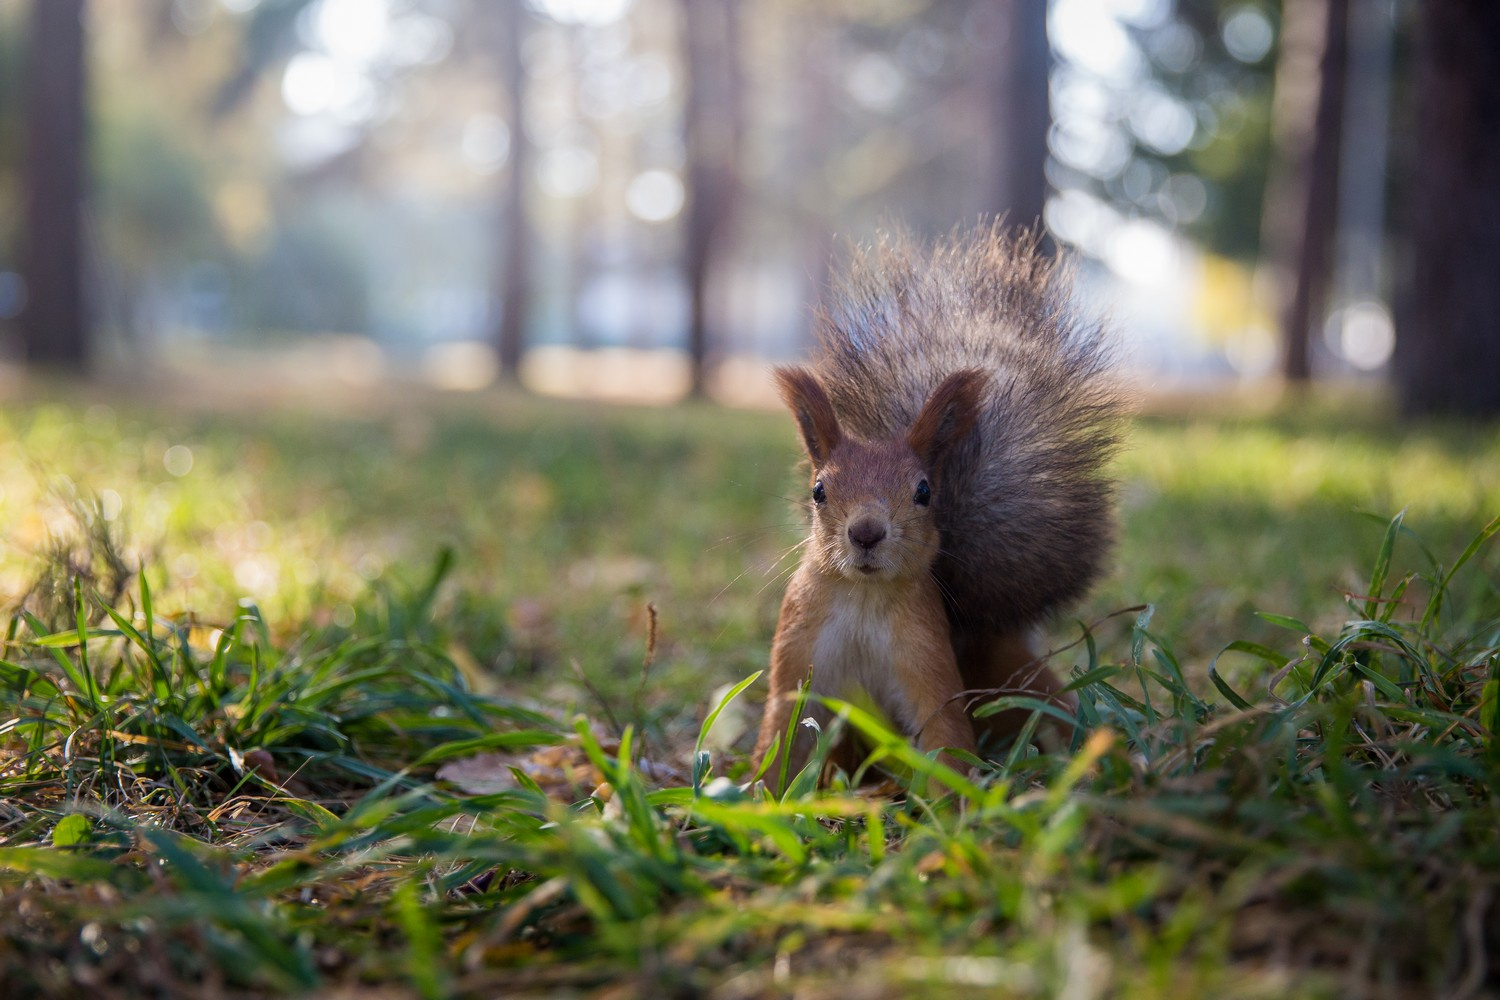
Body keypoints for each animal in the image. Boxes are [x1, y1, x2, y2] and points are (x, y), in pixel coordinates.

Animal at [756, 226, 1122, 791]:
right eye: (819, 490)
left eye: (925, 492)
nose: (866, 532)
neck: (863, 598)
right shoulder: (797, 654)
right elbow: (782, 733)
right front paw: (756, 795)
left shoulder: (925, 657)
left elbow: (945, 735)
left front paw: (954, 804)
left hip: (1022, 682)